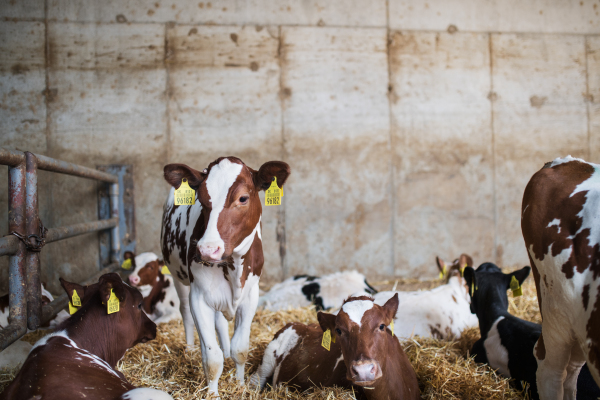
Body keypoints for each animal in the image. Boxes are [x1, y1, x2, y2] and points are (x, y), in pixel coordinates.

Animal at [159, 156, 290, 396]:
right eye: (201, 199)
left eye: (243, 198)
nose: (207, 249)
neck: (233, 267)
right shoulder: (199, 296)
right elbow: (212, 358)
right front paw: (212, 394)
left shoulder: (251, 295)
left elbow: (241, 349)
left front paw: (240, 385)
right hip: (176, 275)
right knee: (185, 311)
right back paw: (190, 349)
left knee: (220, 322)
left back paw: (226, 350)